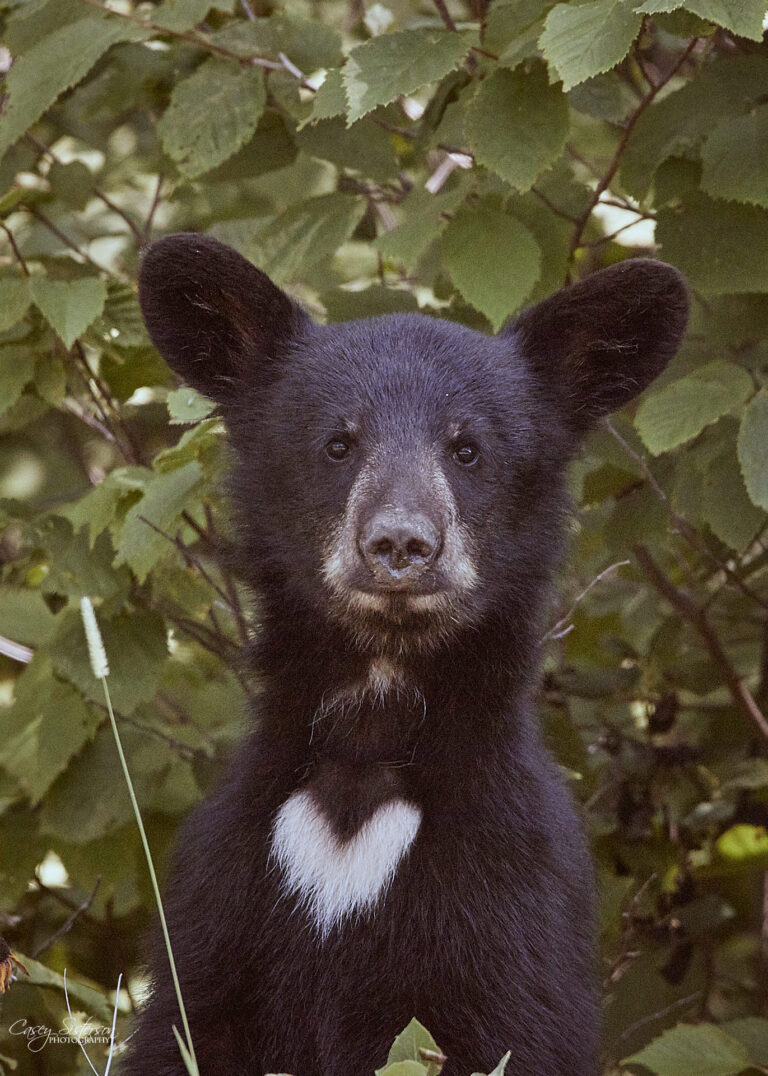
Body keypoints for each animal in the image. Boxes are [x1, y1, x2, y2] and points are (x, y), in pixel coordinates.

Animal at [123, 233, 688, 1076]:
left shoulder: (509, 903)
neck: (371, 735)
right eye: (337, 443)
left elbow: (516, 1030)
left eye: (469, 449)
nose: (400, 544)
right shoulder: (221, 892)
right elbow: (181, 1029)